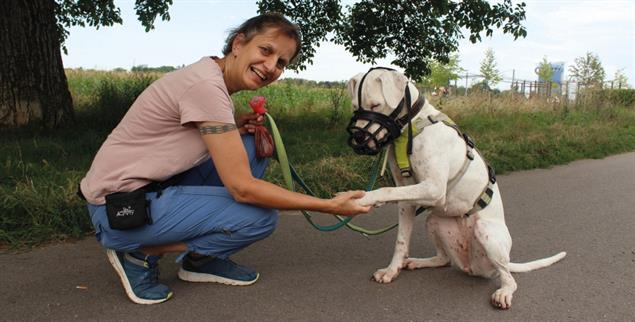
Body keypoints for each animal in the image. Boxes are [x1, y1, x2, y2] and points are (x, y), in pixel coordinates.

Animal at [348, 69, 568, 310]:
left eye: (376, 105)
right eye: (355, 107)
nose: (357, 138)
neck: (412, 128)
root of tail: (471, 265)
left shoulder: (434, 188)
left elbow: (385, 191)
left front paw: (365, 199)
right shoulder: (406, 199)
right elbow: (401, 240)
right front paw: (391, 270)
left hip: (486, 232)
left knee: (509, 277)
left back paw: (504, 292)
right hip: (434, 221)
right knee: (444, 259)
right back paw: (418, 262)